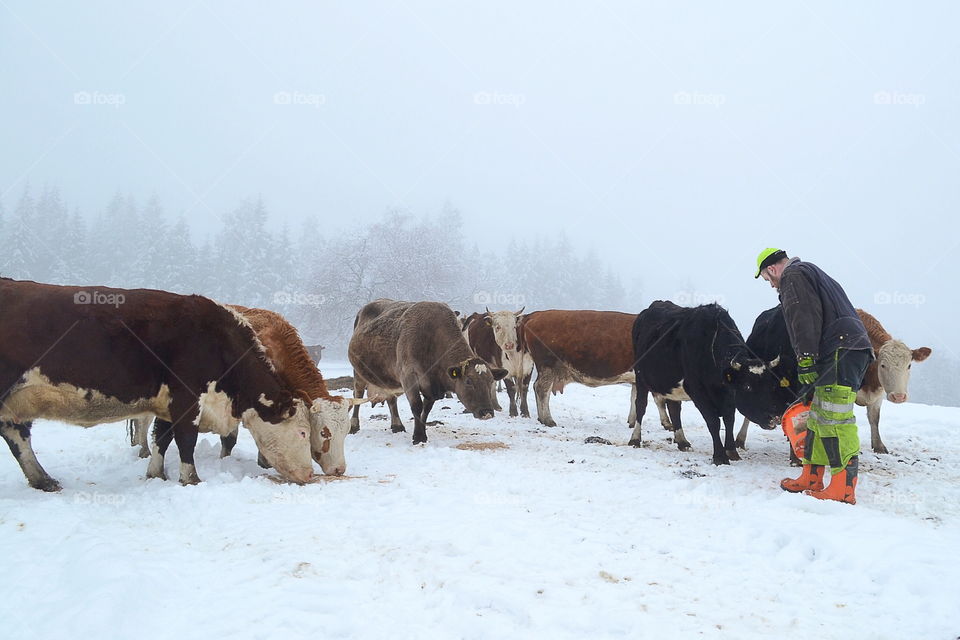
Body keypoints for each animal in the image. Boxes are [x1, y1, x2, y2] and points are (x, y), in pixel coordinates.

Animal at [0, 278, 314, 490]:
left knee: (17, 435)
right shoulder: (187, 396)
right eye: (303, 433)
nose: (310, 475)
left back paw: (43, 480)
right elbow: (186, 439)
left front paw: (156, 474)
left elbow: (162, 437)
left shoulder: (167, 402)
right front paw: (191, 479)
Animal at [346, 300, 510, 444]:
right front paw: (418, 437)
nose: (487, 412)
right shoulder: (408, 376)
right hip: (358, 373)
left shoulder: (431, 386)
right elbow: (417, 406)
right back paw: (354, 425)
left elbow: (426, 410)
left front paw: (421, 434)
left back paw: (397, 425)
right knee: (357, 395)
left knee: (391, 399)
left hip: (387, 378)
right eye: (469, 381)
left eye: (490, 381)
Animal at [632, 300, 748, 464]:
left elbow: (729, 417)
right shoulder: (696, 388)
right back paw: (635, 438)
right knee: (641, 406)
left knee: (674, 409)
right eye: (749, 387)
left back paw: (682, 441)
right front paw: (720, 456)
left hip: (670, 384)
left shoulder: (727, 392)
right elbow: (713, 421)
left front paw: (731, 451)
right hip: (641, 377)